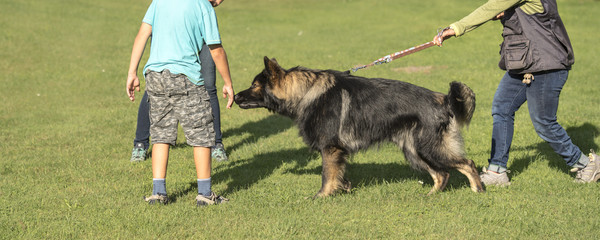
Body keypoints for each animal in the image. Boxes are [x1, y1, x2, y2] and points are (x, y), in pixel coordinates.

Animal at [232, 56, 486, 197]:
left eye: (254, 85)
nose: (234, 97)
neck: (305, 93)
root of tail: (444, 99)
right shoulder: (337, 153)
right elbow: (338, 175)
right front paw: (343, 188)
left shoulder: (330, 149)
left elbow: (326, 176)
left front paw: (321, 197)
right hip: (415, 151)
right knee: (442, 174)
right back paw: (431, 196)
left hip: (429, 148)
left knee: (467, 164)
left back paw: (479, 190)